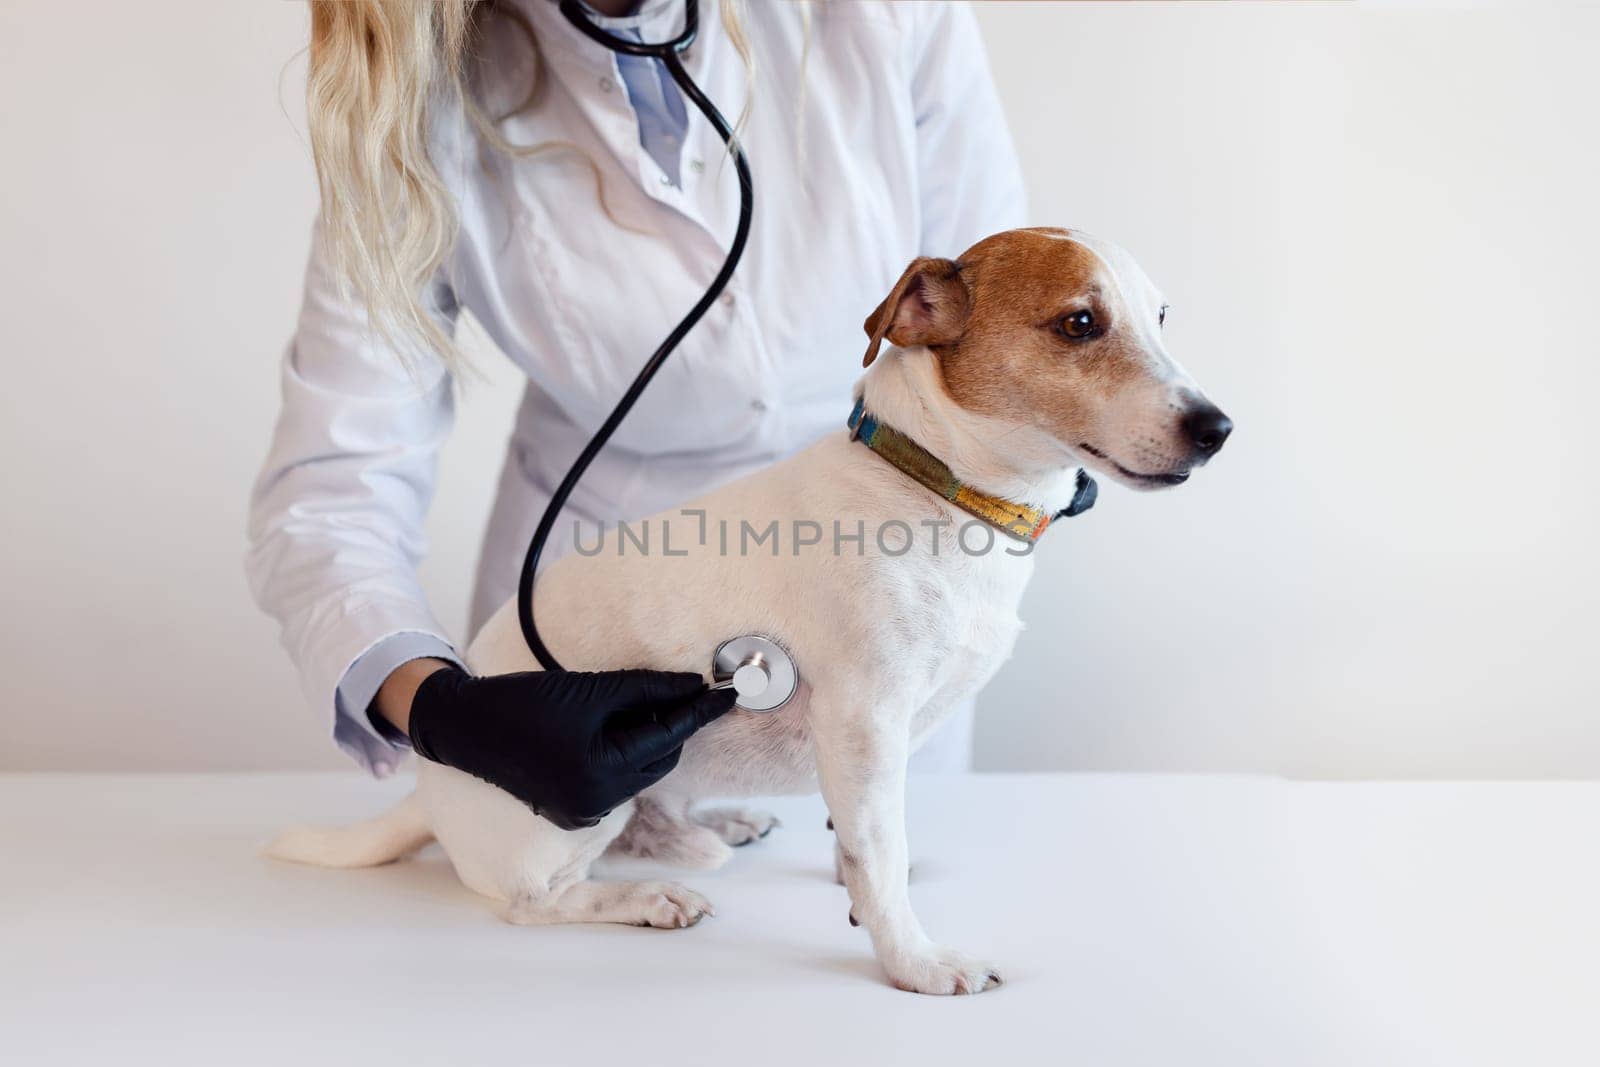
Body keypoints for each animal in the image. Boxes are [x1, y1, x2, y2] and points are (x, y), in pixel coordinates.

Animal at [268, 230, 1228, 998]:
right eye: (1079, 324)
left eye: (1162, 318)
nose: (1218, 428)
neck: (934, 486)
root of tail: (430, 774)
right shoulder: (864, 724)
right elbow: (880, 860)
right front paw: (914, 960)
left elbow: (864, 846)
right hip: (576, 805)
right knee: (530, 901)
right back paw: (642, 896)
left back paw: (706, 825)